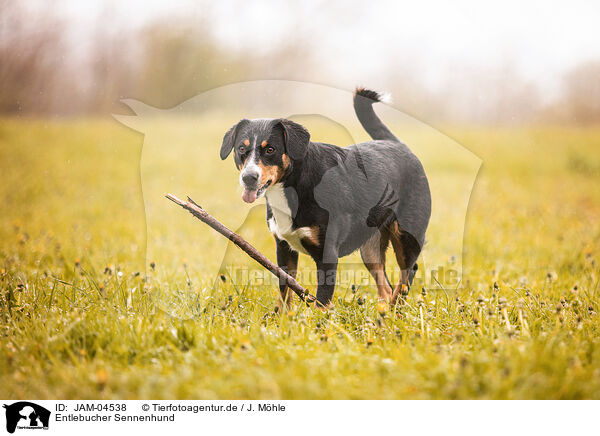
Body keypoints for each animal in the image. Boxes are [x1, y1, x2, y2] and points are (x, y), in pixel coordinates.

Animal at [220, 87, 432, 306]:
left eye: (270, 149)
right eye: (241, 149)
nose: (248, 178)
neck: (295, 185)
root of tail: (397, 144)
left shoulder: (327, 253)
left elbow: (321, 300)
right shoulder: (284, 249)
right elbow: (285, 291)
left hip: (407, 234)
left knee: (408, 272)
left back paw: (396, 306)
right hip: (370, 248)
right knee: (385, 285)